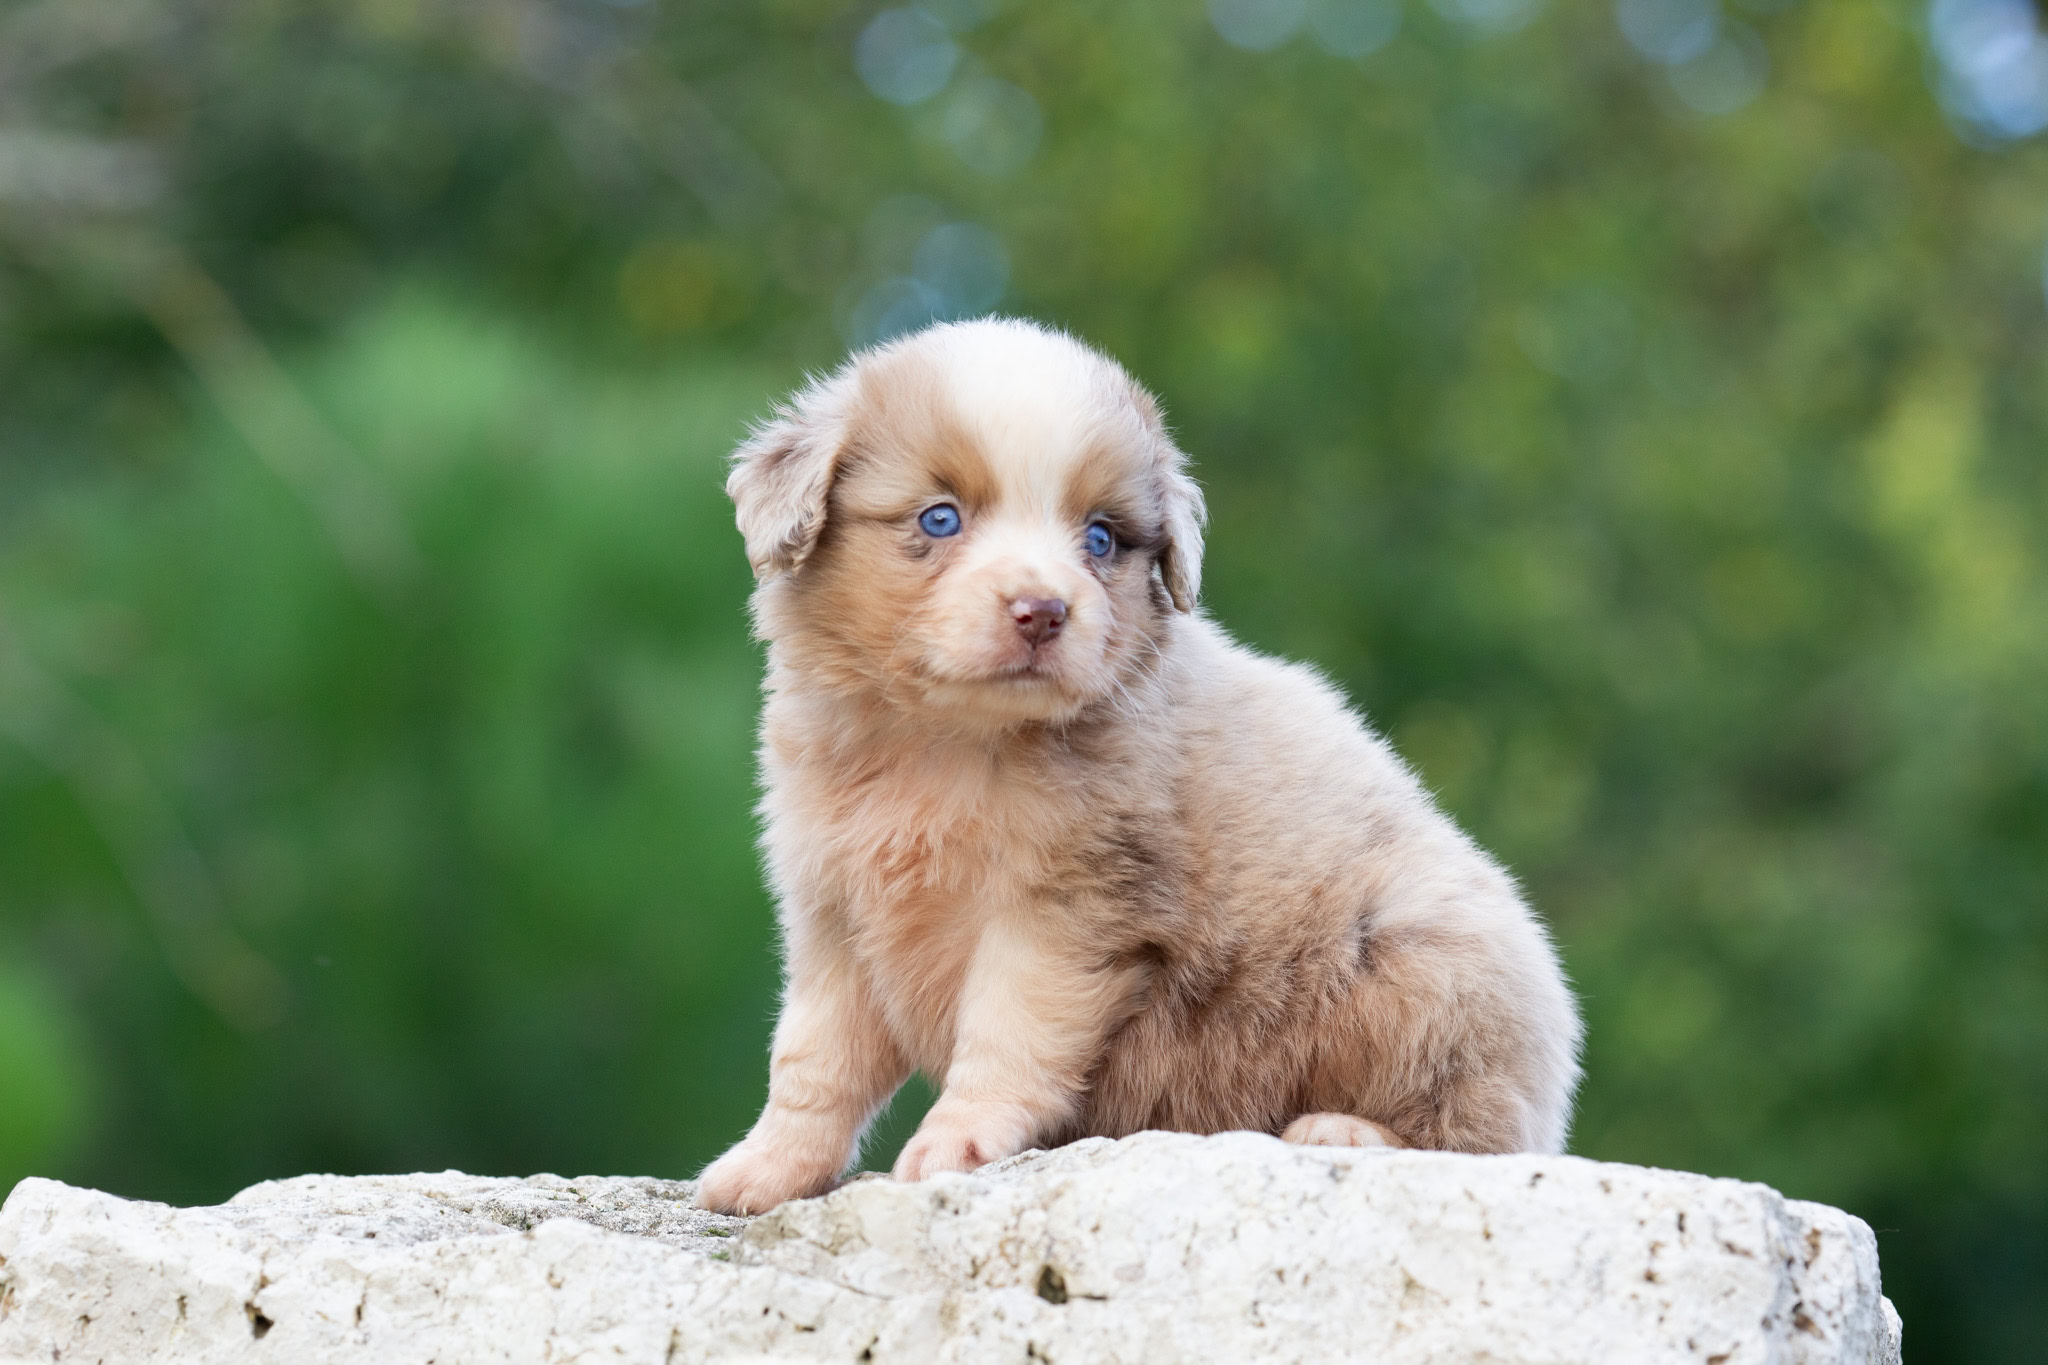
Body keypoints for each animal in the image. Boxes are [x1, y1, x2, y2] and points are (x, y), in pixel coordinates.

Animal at [692, 317, 1581, 1219]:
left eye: (1100, 538)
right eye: (939, 519)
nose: (1043, 611)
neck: (945, 740)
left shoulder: (1065, 910)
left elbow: (1005, 1034)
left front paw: (958, 1140)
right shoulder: (835, 914)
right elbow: (812, 1061)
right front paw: (766, 1168)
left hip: (1419, 971)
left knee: (1475, 1137)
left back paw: (1345, 1131)